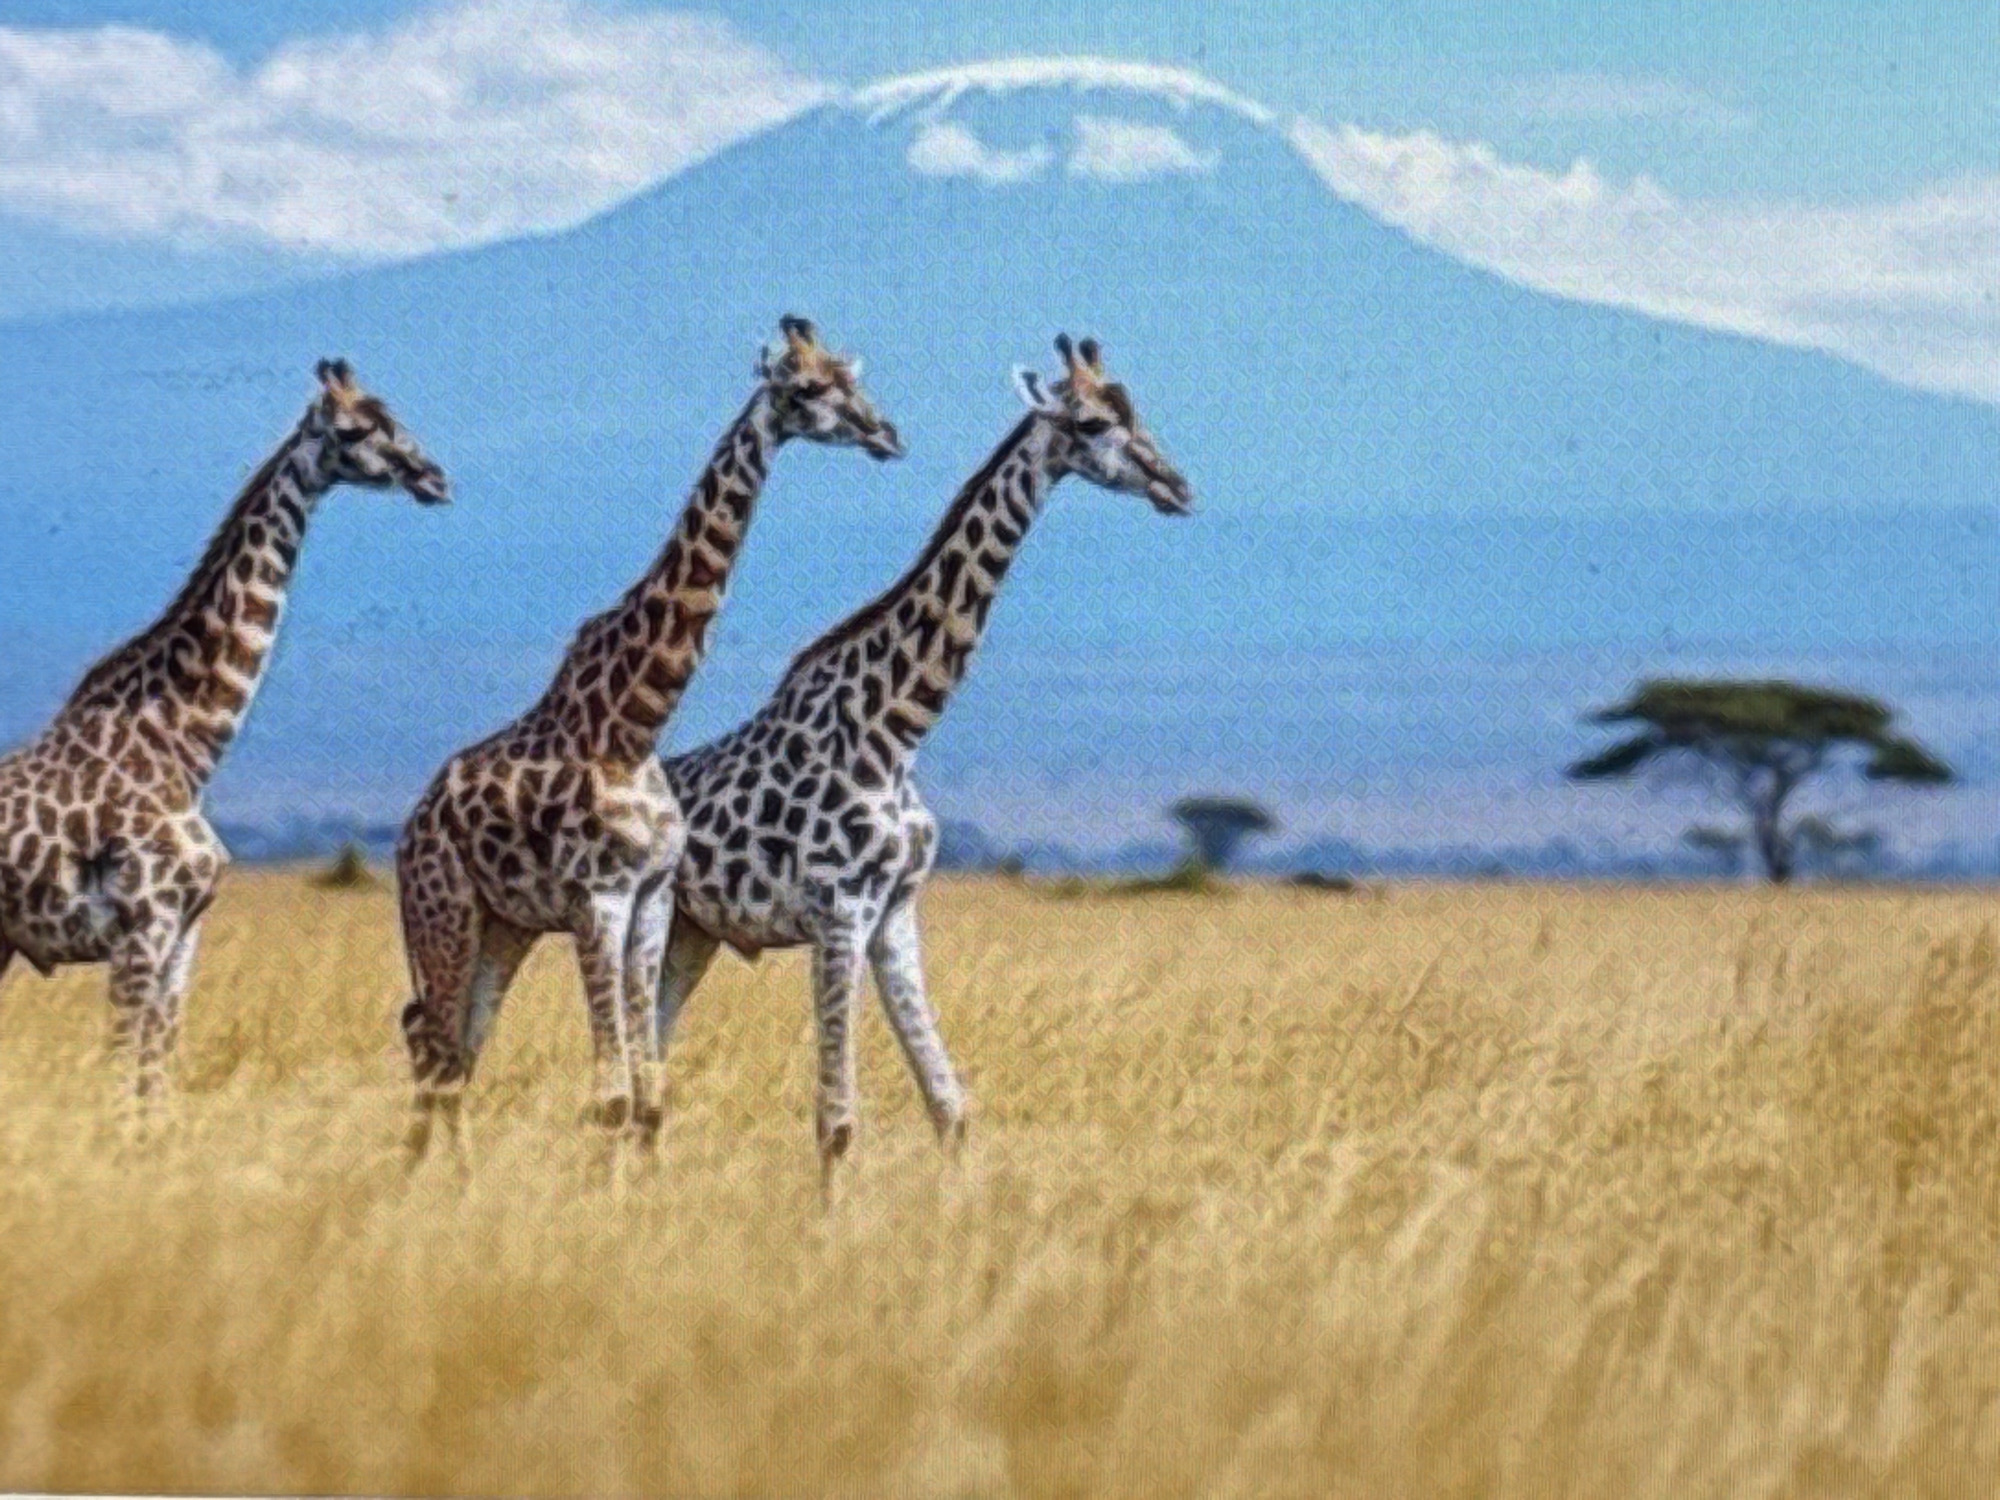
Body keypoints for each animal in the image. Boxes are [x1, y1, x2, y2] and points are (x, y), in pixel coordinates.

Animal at [0, 360, 449, 1103]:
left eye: (396, 415)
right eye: (356, 430)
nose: (433, 477)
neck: (185, 744)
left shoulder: (184, 933)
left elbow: (155, 1079)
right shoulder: (140, 930)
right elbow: (122, 1076)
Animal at [395, 316, 902, 1156]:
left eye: (851, 377)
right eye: (806, 389)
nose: (885, 433)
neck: (634, 724)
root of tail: (410, 826)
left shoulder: (652, 898)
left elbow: (645, 1095)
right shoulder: (597, 900)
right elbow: (610, 1095)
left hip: (504, 927)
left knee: (455, 1049)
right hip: (442, 908)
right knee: (429, 1041)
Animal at [655, 335, 1191, 1187]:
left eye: (1139, 412)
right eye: (1093, 421)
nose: (1177, 486)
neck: (896, 732)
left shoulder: (896, 912)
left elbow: (950, 1105)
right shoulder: (838, 910)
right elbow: (837, 1120)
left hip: (691, 933)